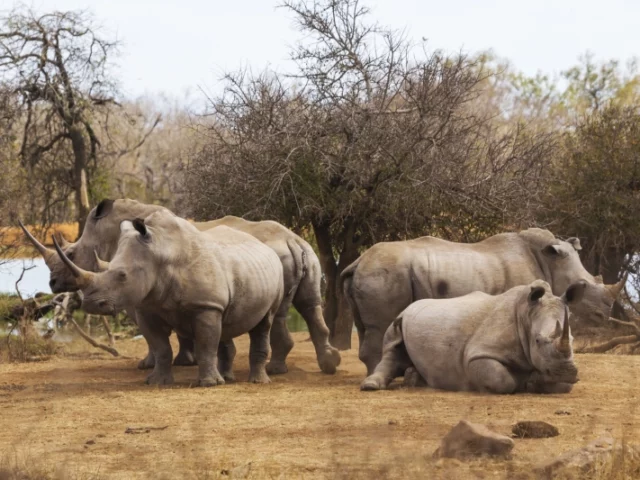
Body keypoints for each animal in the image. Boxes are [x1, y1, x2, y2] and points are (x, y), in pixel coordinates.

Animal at [55, 212, 284, 388]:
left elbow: (205, 345)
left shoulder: (205, 307)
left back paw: (257, 382)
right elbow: (161, 347)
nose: (90, 304)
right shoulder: (148, 309)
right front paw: (156, 382)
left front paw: (209, 384)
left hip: (276, 272)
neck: (160, 254)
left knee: (265, 322)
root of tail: (263, 244)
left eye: (122, 275)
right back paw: (227, 378)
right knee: (225, 324)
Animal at [344, 229, 624, 376]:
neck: (549, 260)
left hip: (374, 272)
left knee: (367, 327)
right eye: (583, 285)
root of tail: (358, 261)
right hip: (385, 272)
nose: (606, 314)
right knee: (380, 327)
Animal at [362, 280, 584, 396]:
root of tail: (410, 307)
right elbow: (502, 380)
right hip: (401, 316)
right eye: (537, 341)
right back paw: (370, 386)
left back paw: (415, 380)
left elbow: (562, 386)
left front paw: (536, 381)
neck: (526, 316)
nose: (567, 371)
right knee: (392, 347)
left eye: (573, 340)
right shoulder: (477, 354)